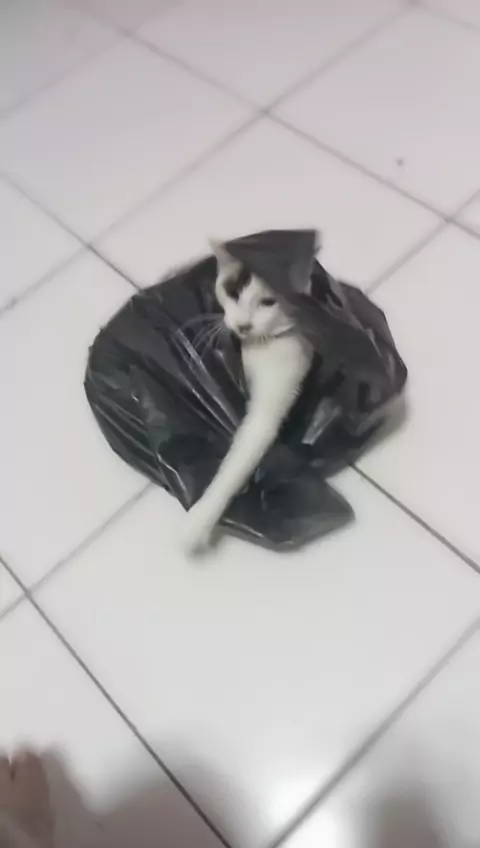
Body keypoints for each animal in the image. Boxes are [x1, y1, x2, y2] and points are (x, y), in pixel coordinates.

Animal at [184, 240, 314, 553]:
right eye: (232, 292)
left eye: (268, 302)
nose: (243, 325)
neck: (258, 346)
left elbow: (240, 458)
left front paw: (199, 522)